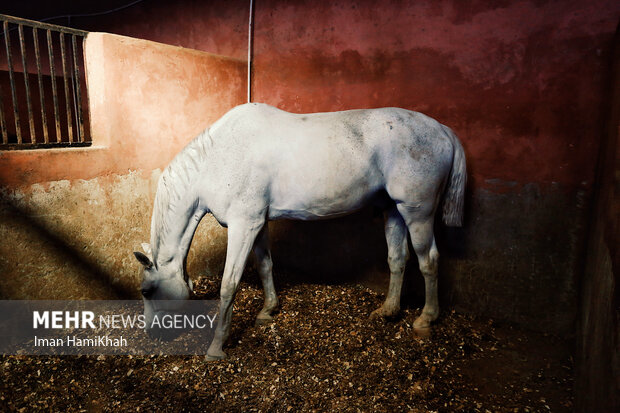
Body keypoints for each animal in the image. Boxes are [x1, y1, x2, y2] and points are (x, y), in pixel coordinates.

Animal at [133, 104, 468, 360]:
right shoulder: (258, 223)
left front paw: (216, 348)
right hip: (394, 211)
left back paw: (425, 318)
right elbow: (265, 265)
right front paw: (268, 310)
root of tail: (443, 130)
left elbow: (229, 285)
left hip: (417, 213)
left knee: (429, 261)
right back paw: (388, 311)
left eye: (147, 291)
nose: (150, 334)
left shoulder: (243, 225)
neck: (219, 157)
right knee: (398, 259)